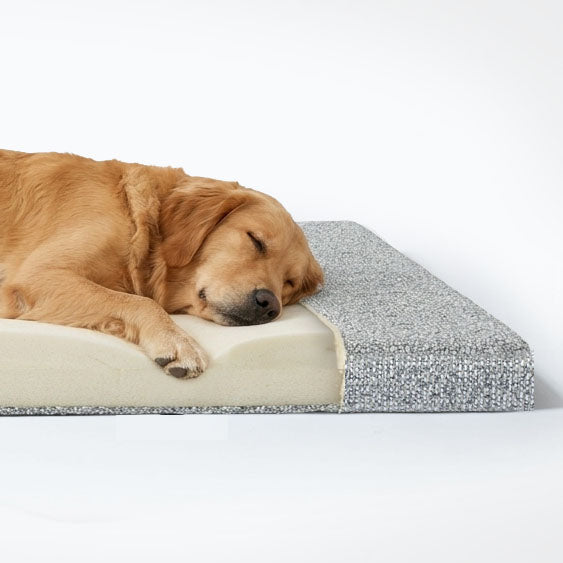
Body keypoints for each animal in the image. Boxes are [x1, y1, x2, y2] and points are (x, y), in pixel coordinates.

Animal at [0, 149, 323, 378]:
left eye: (289, 282)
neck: (139, 220)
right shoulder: (36, 277)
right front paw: (178, 342)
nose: (269, 305)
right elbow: (141, 302)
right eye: (256, 240)